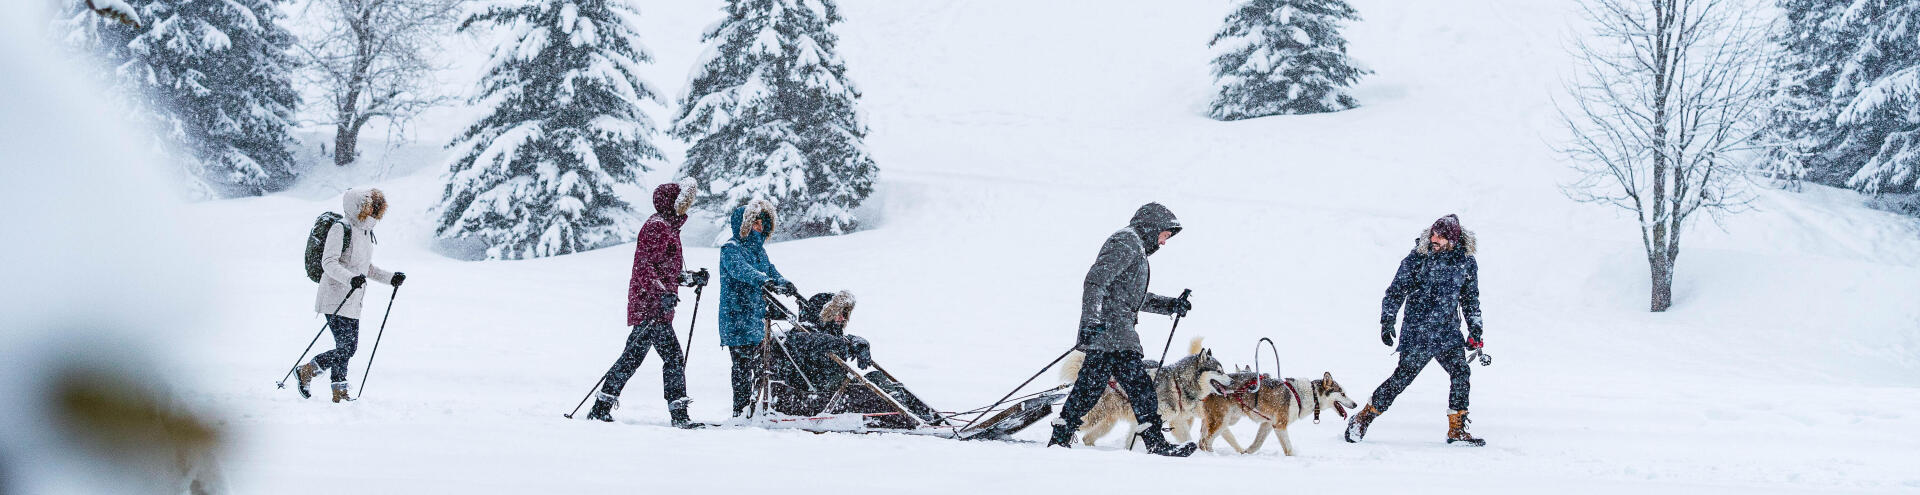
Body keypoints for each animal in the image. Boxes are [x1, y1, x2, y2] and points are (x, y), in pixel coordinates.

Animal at [1059, 337, 1236, 450]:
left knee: (1087, 438)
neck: (1178, 384)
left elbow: (1187, 438)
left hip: (1107, 423)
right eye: (1219, 371)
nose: (1233, 381)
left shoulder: (1176, 421)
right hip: (1093, 417)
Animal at [1198, 372, 1367, 456]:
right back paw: (1211, 456)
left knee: (1202, 440)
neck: (1306, 395)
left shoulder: (1267, 424)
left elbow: (1256, 445)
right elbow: (1289, 449)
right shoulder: (1280, 426)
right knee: (1206, 442)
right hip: (1222, 421)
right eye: (1343, 394)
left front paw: (1246, 453)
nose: (1355, 404)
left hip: (1226, 420)